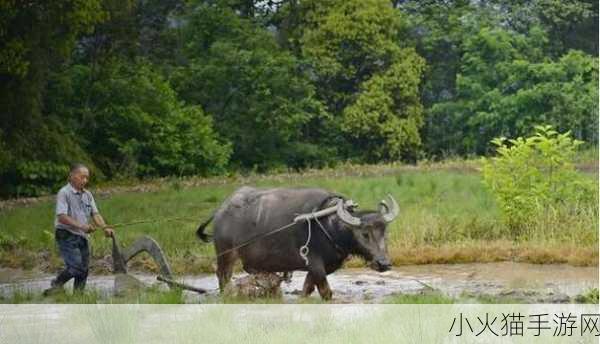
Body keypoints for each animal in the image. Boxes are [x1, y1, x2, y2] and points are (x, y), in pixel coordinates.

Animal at [197, 187, 400, 300]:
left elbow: (306, 290)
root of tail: (221, 210)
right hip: (225, 253)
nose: (383, 263)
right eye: (364, 234)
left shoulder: (319, 269)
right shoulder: (316, 265)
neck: (328, 225)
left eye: (385, 233)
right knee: (223, 277)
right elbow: (326, 293)